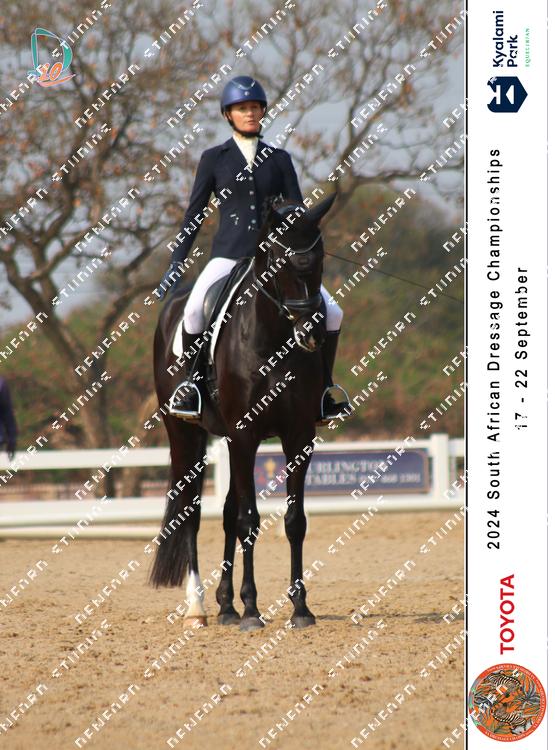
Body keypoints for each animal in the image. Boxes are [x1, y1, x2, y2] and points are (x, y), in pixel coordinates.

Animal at [150, 191, 336, 631]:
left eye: (320, 258)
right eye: (282, 261)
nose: (312, 333)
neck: (272, 340)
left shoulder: (299, 437)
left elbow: (293, 521)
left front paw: (300, 609)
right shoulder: (245, 433)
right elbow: (249, 521)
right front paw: (252, 609)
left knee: (226, 511)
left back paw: (225, 606)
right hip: (184, 433)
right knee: (192, 514)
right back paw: (199, 608)